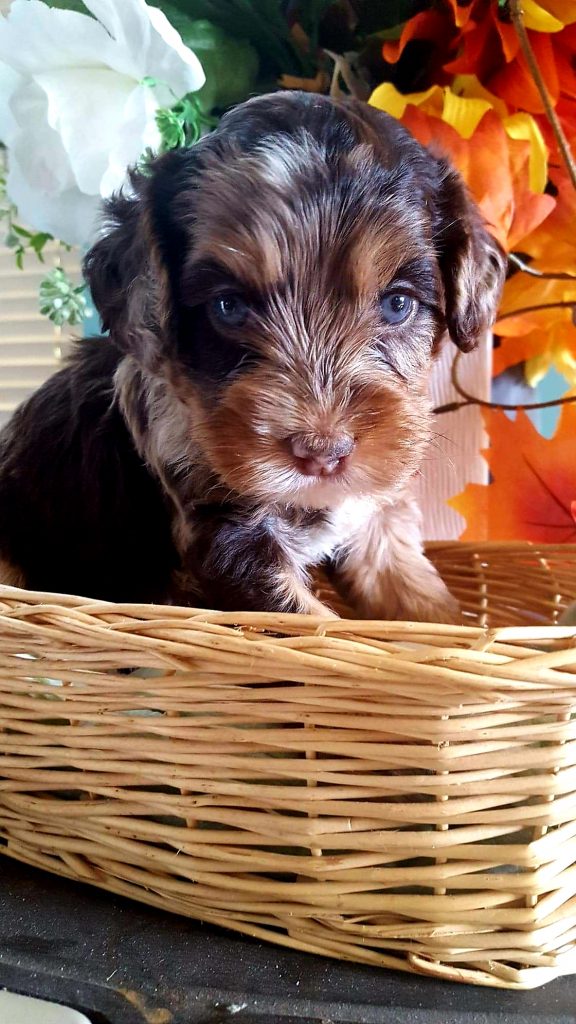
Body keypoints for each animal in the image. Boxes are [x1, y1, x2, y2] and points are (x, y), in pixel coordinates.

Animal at [0, 92, 502, 614]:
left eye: (398, 304)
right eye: (229, 306)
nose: (322, 454)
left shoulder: (377, 511)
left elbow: (411, 591)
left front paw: (447, 624)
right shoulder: (229, 537)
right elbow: (309, 617)